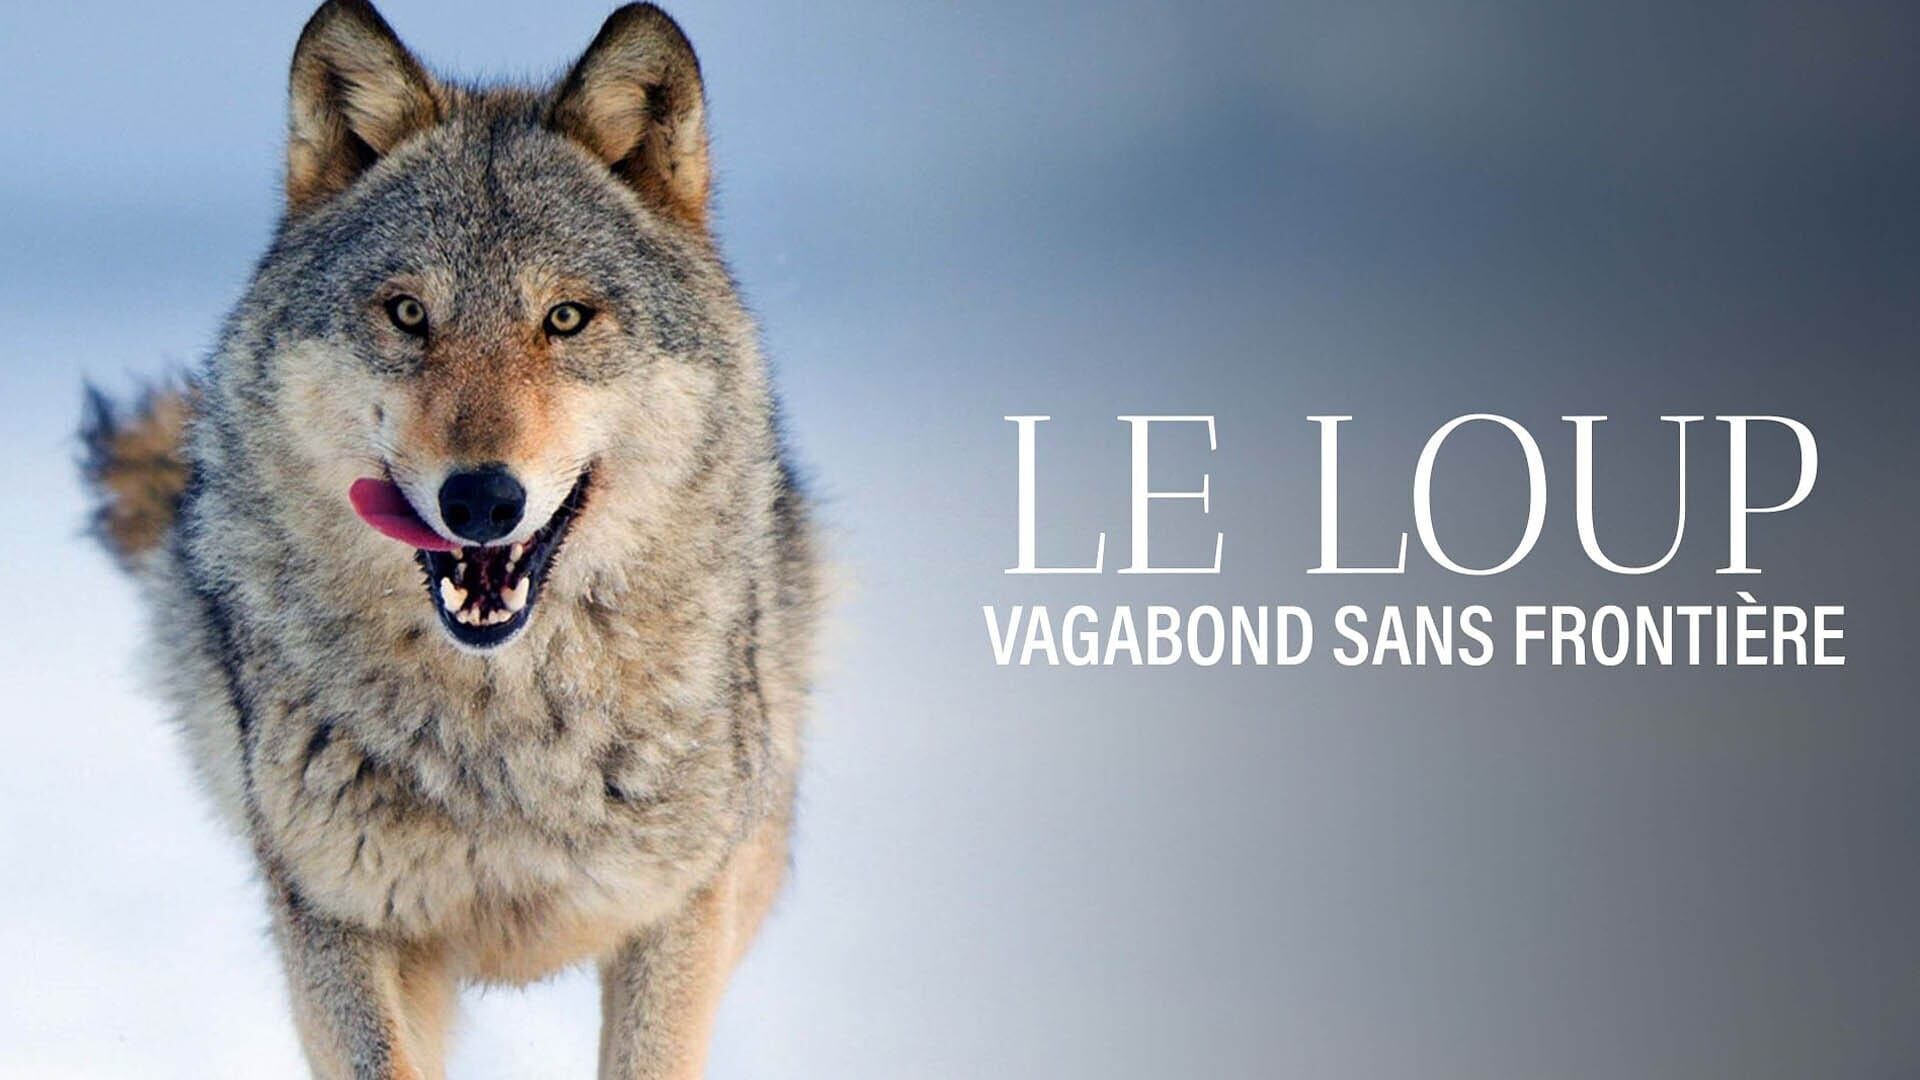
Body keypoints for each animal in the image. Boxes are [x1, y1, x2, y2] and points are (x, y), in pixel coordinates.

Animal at [77, 2, 818, 1076]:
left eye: (564, 318)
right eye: (408, 314)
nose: (480, 500)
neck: (505, 736)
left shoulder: (679, 909)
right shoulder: (335, 917)